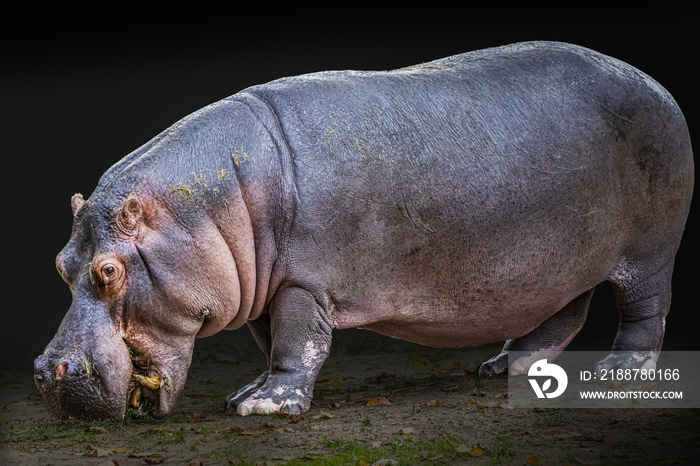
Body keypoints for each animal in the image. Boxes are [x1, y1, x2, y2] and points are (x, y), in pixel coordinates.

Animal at [34, 41, 696, 418]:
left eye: (109, 270)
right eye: (61, 264)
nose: (48, 373)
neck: (211, 204)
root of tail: (654, 82)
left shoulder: (302, 284)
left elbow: (297, 343)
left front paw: (263, 408)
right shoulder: (265, 293)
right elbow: (270, 344)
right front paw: (247, 394)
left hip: (649, 250)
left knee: (644, 309)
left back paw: (619, 372)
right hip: (563, 260)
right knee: (564, 312)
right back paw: (506, 366)